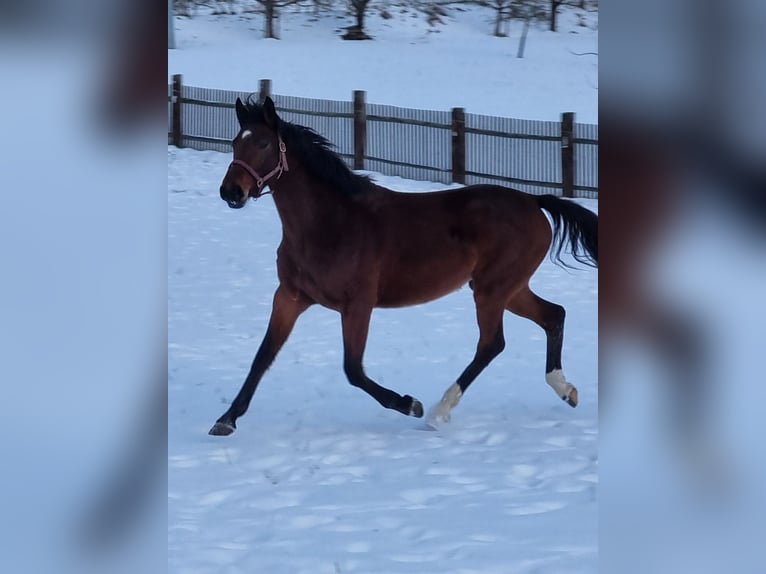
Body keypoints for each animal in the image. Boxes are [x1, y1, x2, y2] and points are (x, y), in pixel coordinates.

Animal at [208, 96, 597, 436]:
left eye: (263, 144)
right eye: (235, 142)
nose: (231, 192)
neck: (329, 223)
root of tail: (534, 201)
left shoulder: (357, 305)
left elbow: (353, 369)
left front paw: (410, 403)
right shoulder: (290, 297)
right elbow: (262, 356)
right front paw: (226, 420)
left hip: (492, 290)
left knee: (492, 344)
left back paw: (438, 412)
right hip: (508, 288)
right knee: (553, 315)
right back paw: (566, 390)